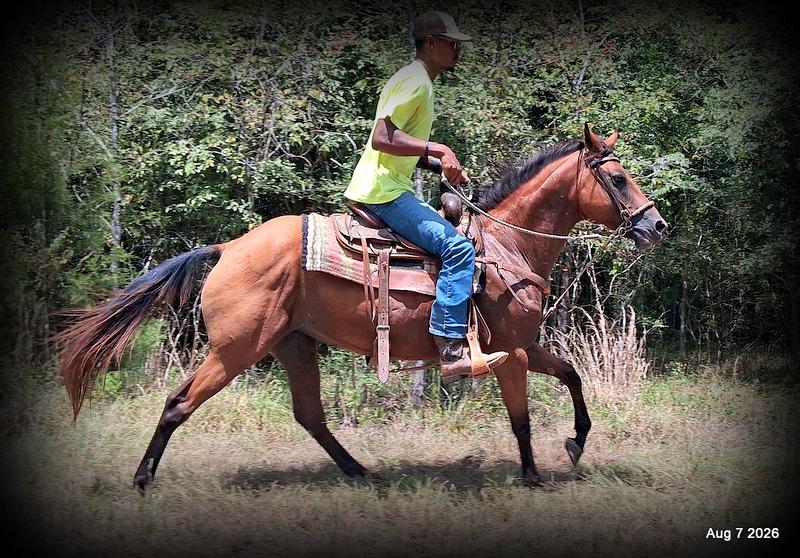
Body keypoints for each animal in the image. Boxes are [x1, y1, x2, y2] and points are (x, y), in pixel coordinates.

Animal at [55, 124, 667, 489]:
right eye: (617, 178)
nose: (656, 225)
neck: (506, 245)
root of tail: (228, 248)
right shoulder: (511, 353)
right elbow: (520, 417)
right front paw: (533, 475)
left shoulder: (524, 345)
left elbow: (572, 376)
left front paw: (576, 443)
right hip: (234, 351)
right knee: (178, 403)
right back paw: (142, 479)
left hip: (293, 346)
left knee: (310, 415)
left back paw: (359, 470)